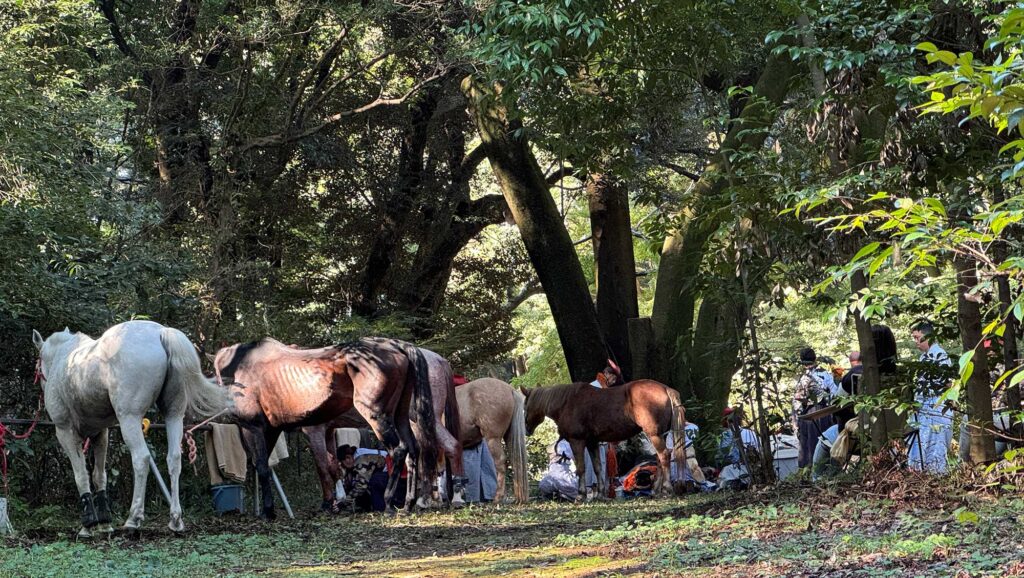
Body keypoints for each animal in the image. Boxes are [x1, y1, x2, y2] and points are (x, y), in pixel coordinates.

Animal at [31, 321, 228, 536]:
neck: (64, 358)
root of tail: (160, 332)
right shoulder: (101, 433)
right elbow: (99, 476)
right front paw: (104, 522)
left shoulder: (65, 431)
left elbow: (81, 475)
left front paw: (88, 523)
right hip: (174, 415)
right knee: (174, 459)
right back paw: (175, 520)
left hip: (129, 419)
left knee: (141, 459)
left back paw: (133, 519)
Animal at [212, 337, 450, 518]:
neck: (239, 366)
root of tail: (395, 345)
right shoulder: (273, 430)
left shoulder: (254, 428)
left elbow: (264, 466)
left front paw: (269, 512)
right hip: (400, 416)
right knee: (413, 450)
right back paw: (409, 503)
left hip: (377, 415)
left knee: (400, 450)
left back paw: (390, 502)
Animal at [523, 379, 687, 499]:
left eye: (525, 406)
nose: (526, 429)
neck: (566, 403)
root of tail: (665, 388)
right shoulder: (592, 443)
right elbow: (597, 468)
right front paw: (600, 494)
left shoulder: (577, 442)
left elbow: (581, 468)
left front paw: (581, 495)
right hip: (661, 435)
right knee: (660, 459)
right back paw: (656, 490)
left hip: (654, 435)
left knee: (664, 456)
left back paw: (666, 489)